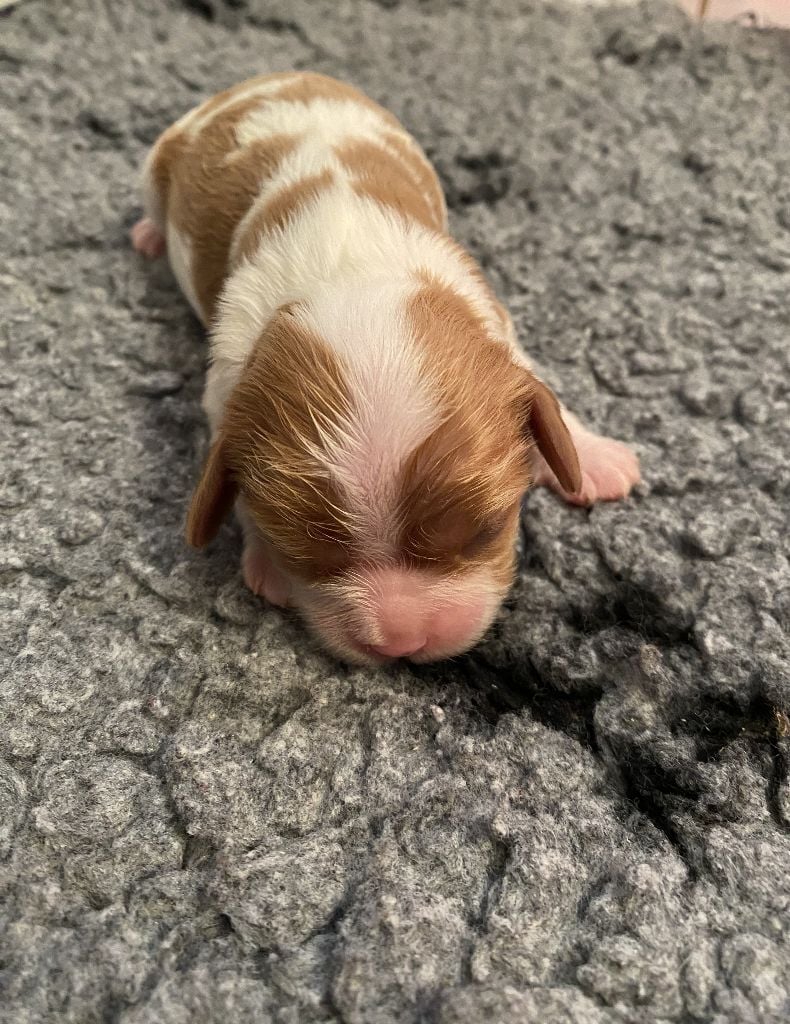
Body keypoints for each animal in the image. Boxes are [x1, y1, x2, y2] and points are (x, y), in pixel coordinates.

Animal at [133, 72, 639, 663]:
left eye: (486, 530)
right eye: (303, 552)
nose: (403, 642)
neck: (352, 271)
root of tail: (274, 76)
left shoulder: (491, 318)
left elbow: (542, 388)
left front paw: (595, 457)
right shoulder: (226, 378)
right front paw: (267, 563)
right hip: (155, 165)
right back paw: (148, 235)